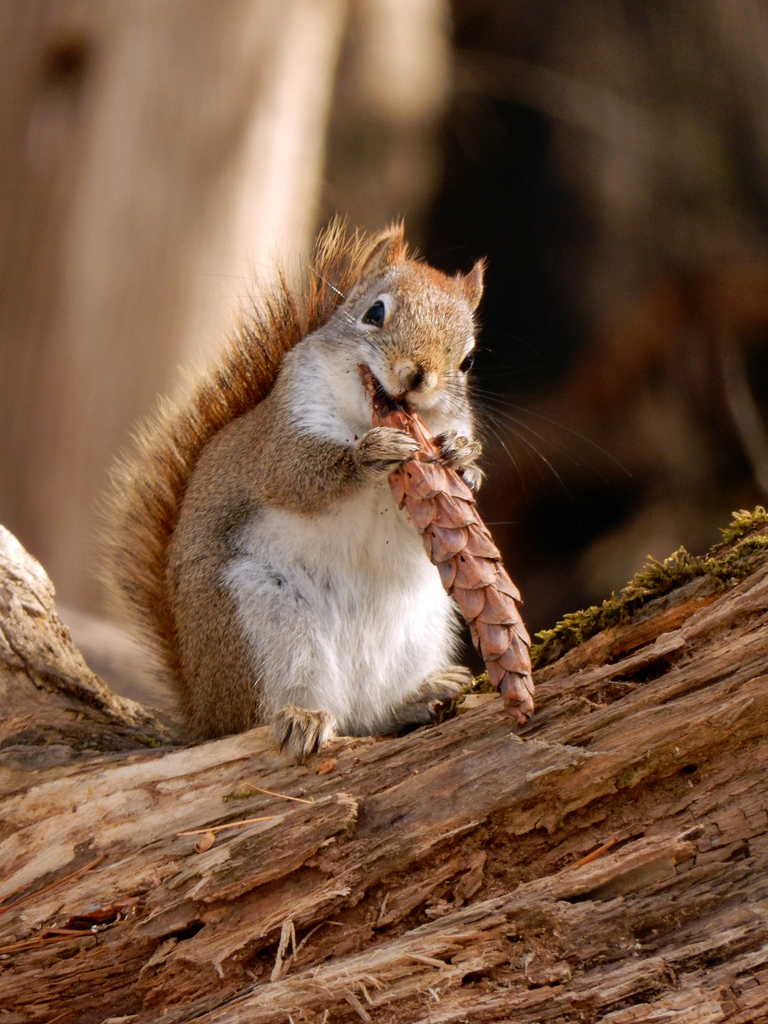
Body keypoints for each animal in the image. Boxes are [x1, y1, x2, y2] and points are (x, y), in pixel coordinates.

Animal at [102, 222, 487, 761]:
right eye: (374, 313)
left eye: (468, 360)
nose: (416, 375)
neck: (362, 417)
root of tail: (202, 711)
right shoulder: (278, 441)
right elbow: (298, 476)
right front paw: (368, 455)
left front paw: (464, 459)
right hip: (259, 627)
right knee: (256, 719)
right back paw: (301, 718)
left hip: (421, 628)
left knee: (370, 716)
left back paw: (421, 694)